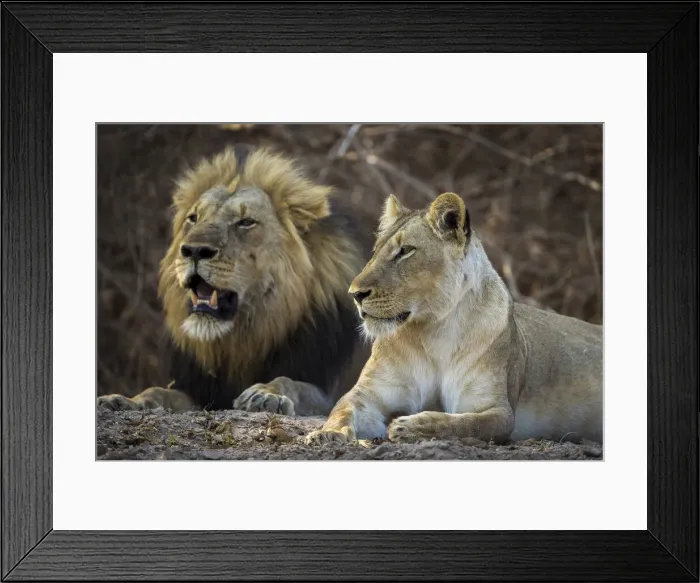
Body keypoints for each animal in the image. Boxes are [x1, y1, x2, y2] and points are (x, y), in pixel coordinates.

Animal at [98, 145, 372, 416]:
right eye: (193, 218)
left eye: (246, 222)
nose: (194, 251)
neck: (242, 338)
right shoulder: (200, 392)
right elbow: (157, 391)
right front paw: (124, 400)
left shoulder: (331, 394)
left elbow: (290, 382)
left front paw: (265, 394)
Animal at [306, 191, 603, 445]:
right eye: (376, 250)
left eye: (405, 251)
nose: (355, 294)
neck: (433, 330)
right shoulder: (370, 393)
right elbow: (342, 409)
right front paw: (326, 434)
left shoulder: (496, 410)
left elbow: (463, 424)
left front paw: (409, 426)